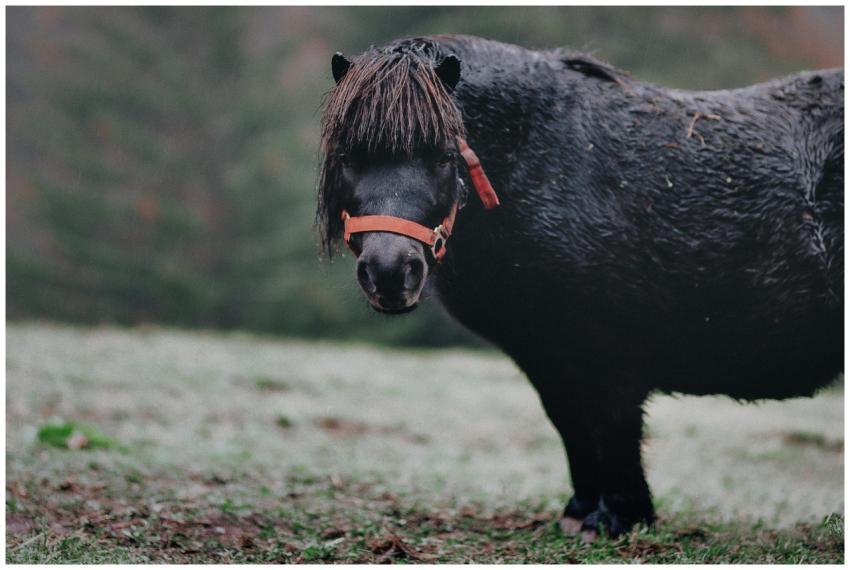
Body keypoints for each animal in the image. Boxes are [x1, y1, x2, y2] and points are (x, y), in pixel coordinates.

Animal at [316, 35, 843, 537]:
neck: (544, 163)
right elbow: (572, 428)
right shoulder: (549, 357)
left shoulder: (611, 358)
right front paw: (581, 513)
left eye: (445, 157)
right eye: (346, 156)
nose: (389, 272)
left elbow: (613, 430)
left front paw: (619, 520)